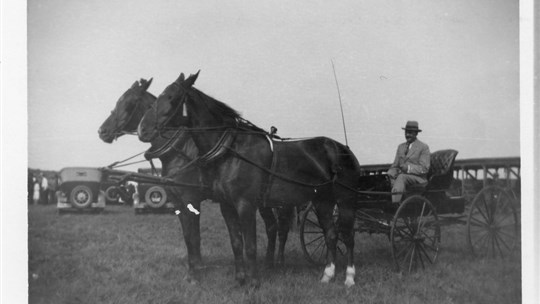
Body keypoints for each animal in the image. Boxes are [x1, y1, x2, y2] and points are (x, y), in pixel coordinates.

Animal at [95, 78, 294, 282]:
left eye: (128, 103)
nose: (102, 131)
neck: (180, 151)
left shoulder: (191, 199)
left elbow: (193, 236)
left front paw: (195, 273)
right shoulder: (177, 201)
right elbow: (187, 236)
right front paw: (197, 267)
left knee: (282, 227)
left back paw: (279, 263)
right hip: (262, 201)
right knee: (272, 226)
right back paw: (269, 263)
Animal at [137, 72, 360, 288]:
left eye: (171, 97)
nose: (142, 129)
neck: (231, 150)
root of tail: (342, 149)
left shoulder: (245, 205)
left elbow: (250, 245)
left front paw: (253, 283)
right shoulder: (226, 206)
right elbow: (236, 243)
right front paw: (239, 280)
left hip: (345, 201)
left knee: (347, 236)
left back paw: (349, 278)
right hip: (322, 201)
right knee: (331, 234)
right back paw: (327, 275)